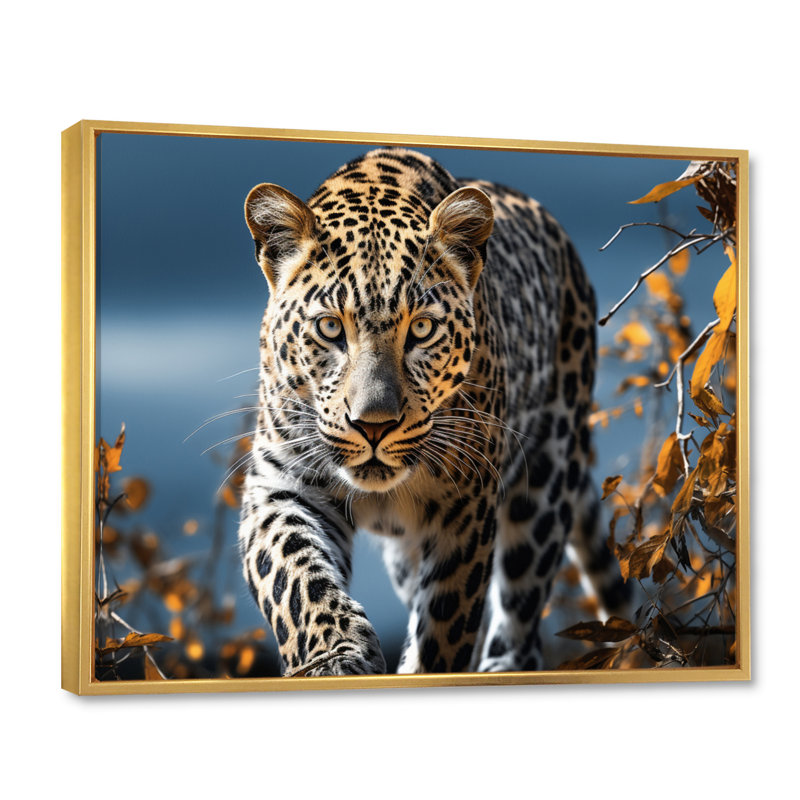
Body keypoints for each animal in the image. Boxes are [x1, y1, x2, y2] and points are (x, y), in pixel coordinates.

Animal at [237, 147, 628, 676]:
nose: (374, 426)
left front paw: (422, 668)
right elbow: (293, 573)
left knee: (520, 607)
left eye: (421, 329)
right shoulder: (283, 482)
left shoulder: (466, 504)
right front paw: (334, 656)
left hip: (545, 477)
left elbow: (446, 618)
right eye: (329, 328)